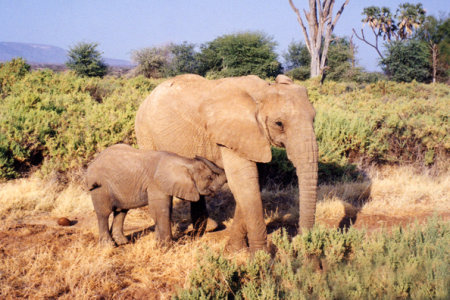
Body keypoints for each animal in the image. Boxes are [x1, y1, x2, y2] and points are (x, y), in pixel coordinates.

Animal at [86, 144, 227, 246]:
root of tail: (92, 163)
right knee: (104, 213)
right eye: (209, 177)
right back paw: (108, 246)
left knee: (121, 211)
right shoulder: (156, 184)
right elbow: (161, 211)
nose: (197, 155)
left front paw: (158, 243)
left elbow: (164, 210)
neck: (183, 162)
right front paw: (167, 247)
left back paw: (122, 242)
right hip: (101, 187)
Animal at [135, 74, 318, 252]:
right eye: (279, 123)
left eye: (314, 118)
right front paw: (260, 255)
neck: (262, 90)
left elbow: (252, 182)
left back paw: (208, 228)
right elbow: (244, 182)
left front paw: (234, 250)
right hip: (144, 131)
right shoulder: (232, 133)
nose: (299, 240)